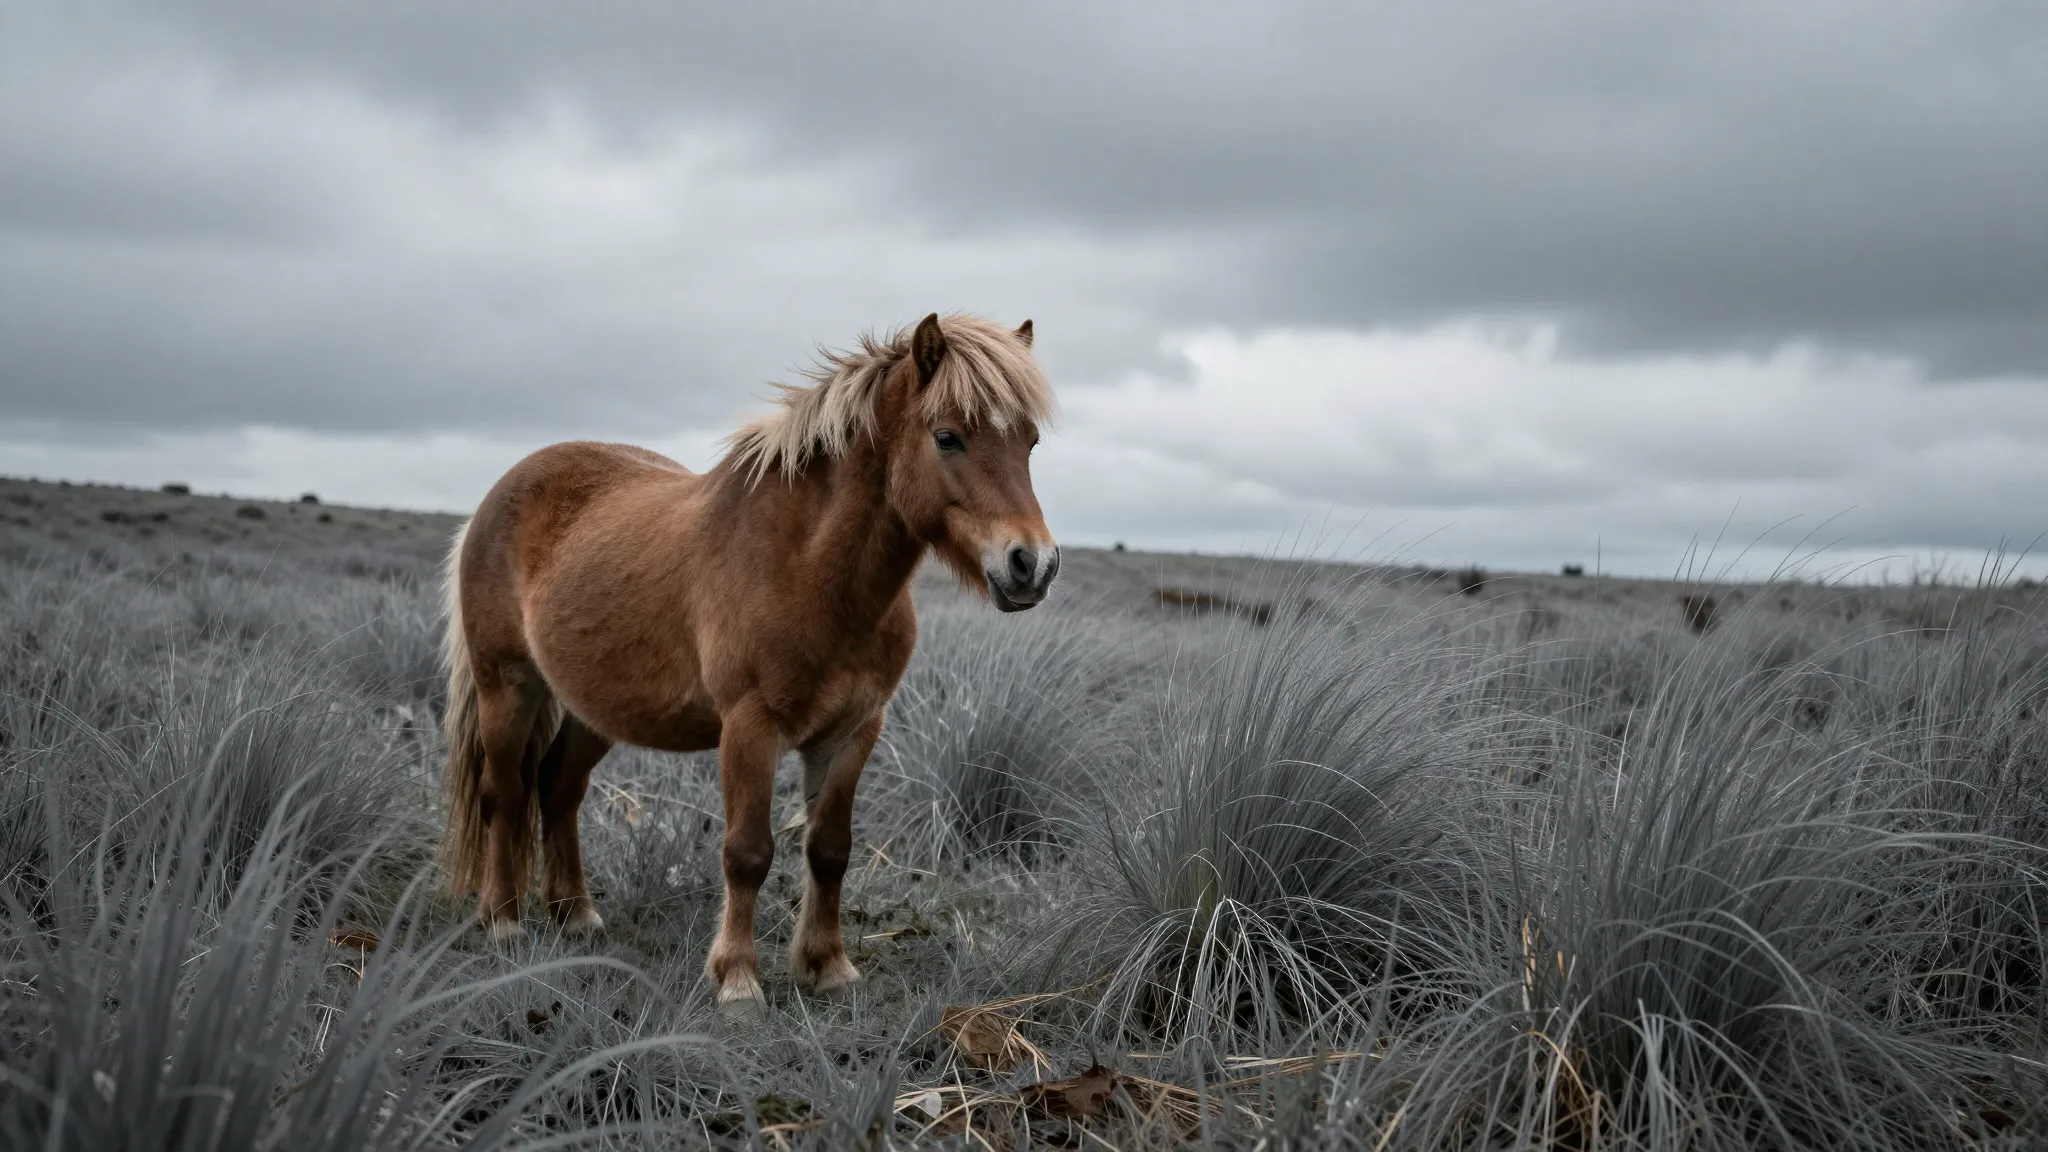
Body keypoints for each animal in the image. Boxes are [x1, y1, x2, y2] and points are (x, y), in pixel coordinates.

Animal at [438, 312, 1059, 1006]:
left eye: (1030, 441)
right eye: (947, 437)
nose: (1032, 565)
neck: (809, 570)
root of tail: (496, 496)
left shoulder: (852, 732)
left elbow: (830, 849)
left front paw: (828, 966)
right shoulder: (749, 728)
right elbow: (747, 853)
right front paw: (737, 980)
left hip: (591, 709)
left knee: (558, 788)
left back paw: (575, 915)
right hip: (507, 688)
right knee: (504, 791)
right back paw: (503, 920)